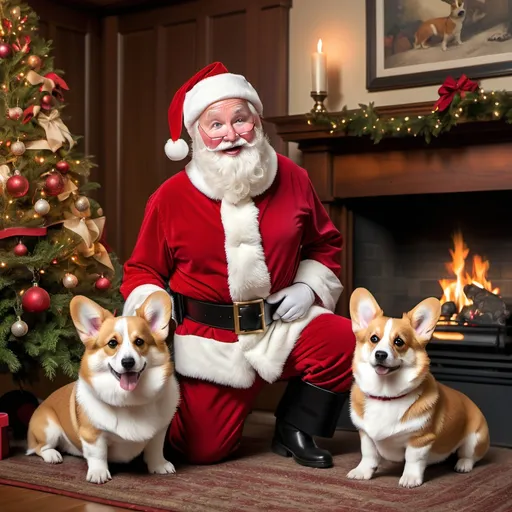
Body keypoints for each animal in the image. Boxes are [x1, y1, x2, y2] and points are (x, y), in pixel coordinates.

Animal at [25, 292, 180, 484]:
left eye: (139, 341)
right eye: (112, 343)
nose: (128, 362)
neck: (130, 401)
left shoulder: (159, 432)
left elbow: (155, 449)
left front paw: (159, 466)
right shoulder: (92, 435)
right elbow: (98, 454)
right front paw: (98, 473)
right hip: (49, 429)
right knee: (40, 448)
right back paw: (53, 455)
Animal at [348, 288, 488, 488]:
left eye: (399, 342)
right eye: (374, 339)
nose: (380, 354)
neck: (386, 395)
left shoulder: (420, 440)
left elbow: (413, 460)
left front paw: (410, 478)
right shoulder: (366, 435)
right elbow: (368, 455)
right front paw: (362, 472)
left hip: (475, 438)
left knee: (470, 456)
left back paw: (463, 465)